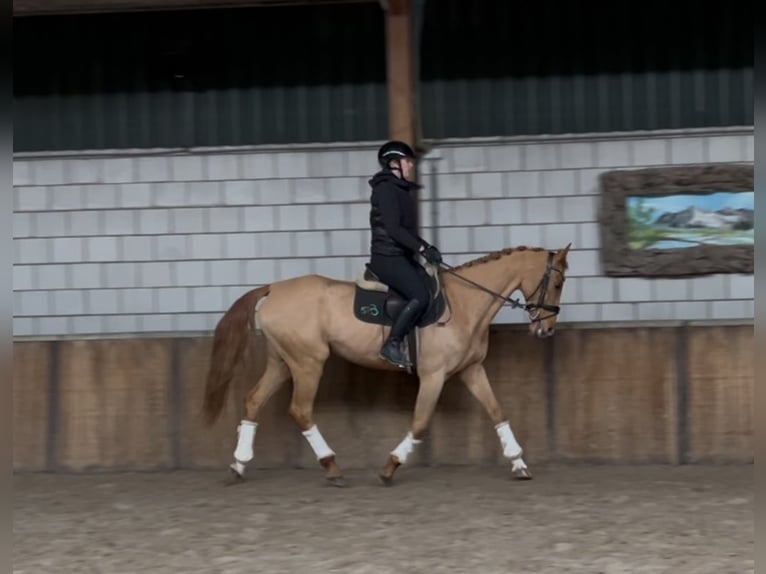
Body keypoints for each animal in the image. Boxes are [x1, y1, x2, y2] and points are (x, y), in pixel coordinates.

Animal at [201, 241, 572, 488]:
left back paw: (238, 465)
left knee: (254, 399)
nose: (546, 330)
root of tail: (273, 289)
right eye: (556, 282)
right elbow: (420, 423)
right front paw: (390, 466)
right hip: (308, 362)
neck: (465, 303)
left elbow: (497, 411)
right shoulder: (434, 375)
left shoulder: (471, 370)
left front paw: (519, 462)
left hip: (282, 361)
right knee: (300, 409)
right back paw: (331, 466)